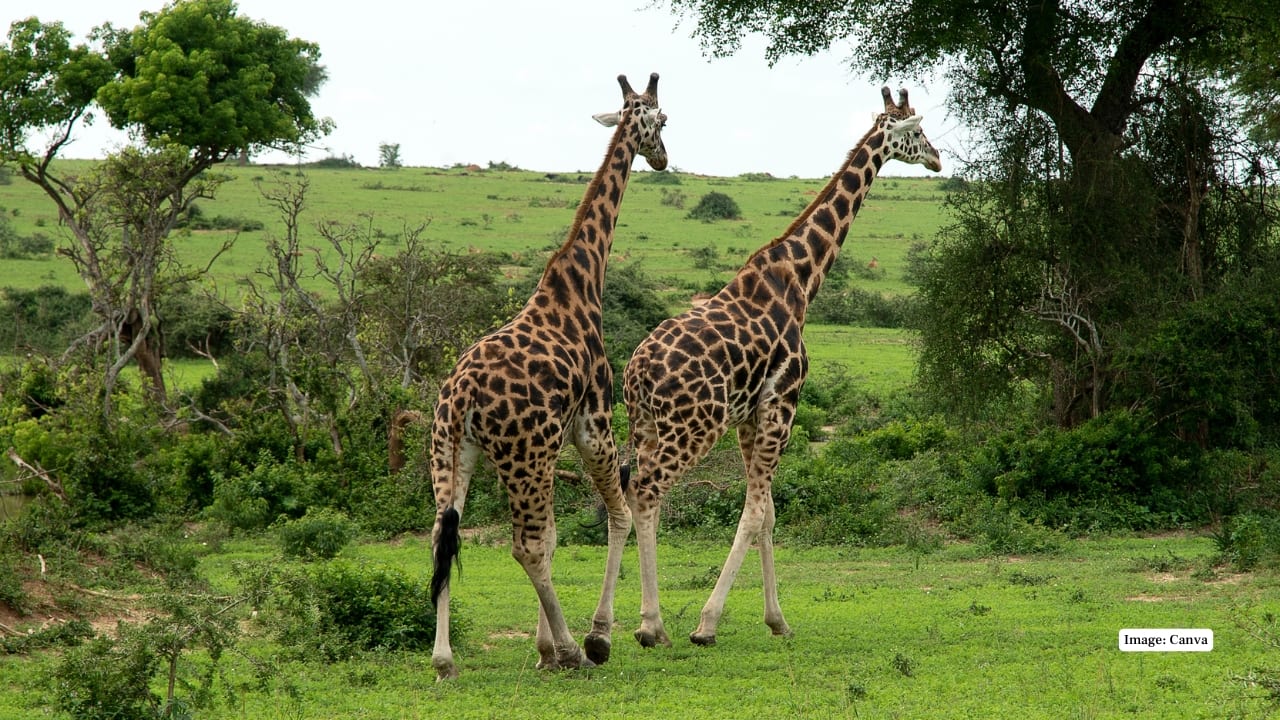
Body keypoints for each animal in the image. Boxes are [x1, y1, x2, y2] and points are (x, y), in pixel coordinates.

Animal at [428, 73, 668, 680]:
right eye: (663, 120)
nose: (662, 157)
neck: (581, 282)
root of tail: (462, 395)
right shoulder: (594, 423)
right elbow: (617, 515)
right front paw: (593, 638)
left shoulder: (556, 443)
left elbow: (560, 536)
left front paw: (542, 648)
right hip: (522, 455)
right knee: (525, 545)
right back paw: (571, 651)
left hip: (452, 452)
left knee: (443, 534)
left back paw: (443, 659)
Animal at [621, 87, 940, 649]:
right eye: (918, 132)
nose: (939, 158)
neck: (802, 280)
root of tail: (638, 372)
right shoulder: (782, 404)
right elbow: (753, 514)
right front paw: (708, 623)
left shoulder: (751, 415)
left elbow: (767, 514)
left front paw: (776, 619)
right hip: (693, 427)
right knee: (646, 491)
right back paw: (651, 625)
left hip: (647, 426)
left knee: (629, 493)